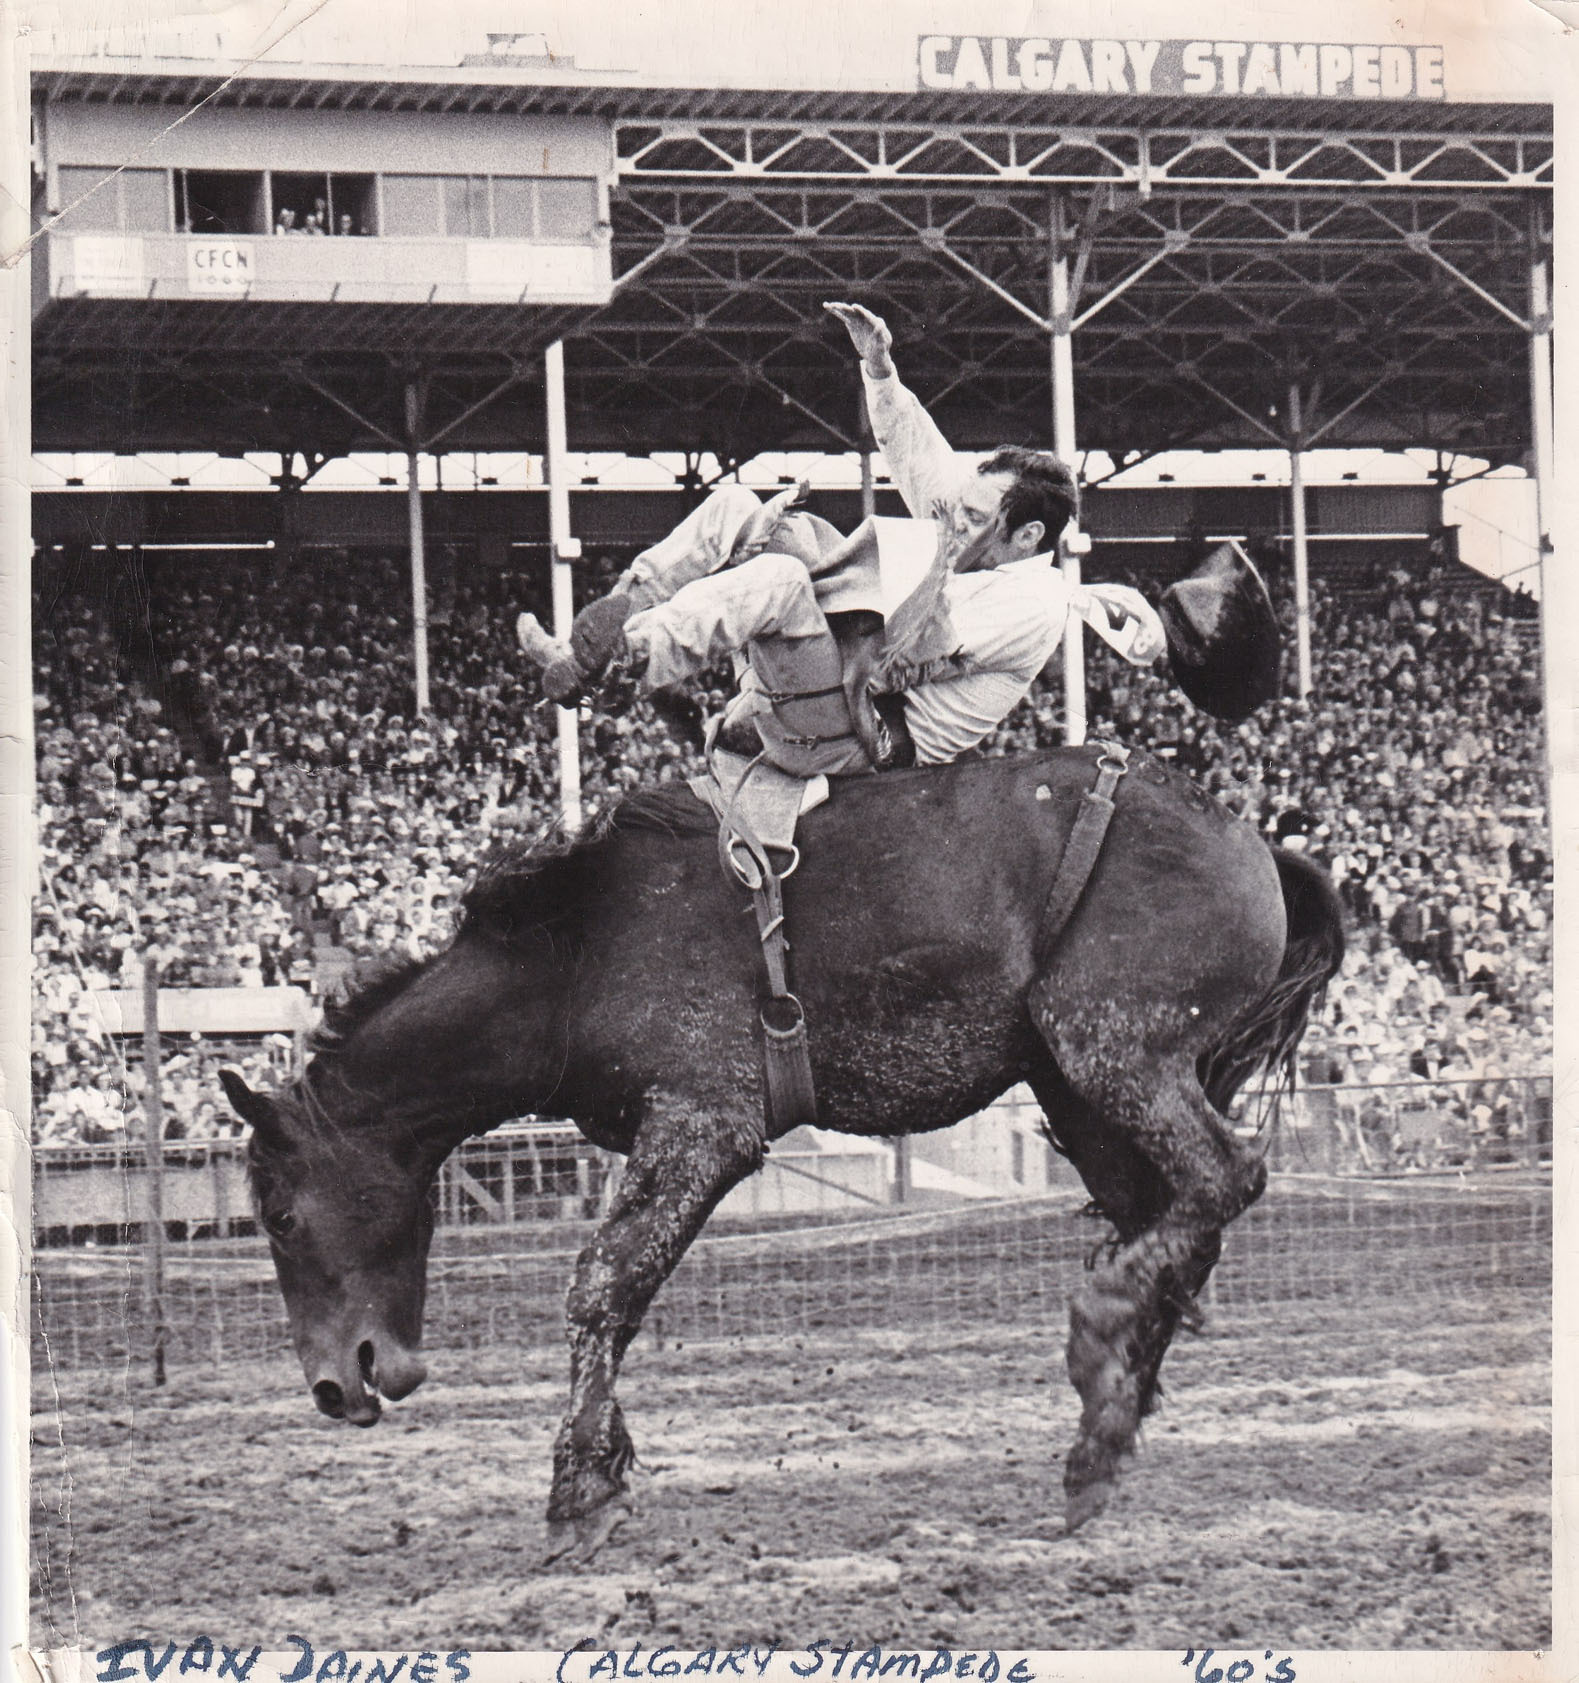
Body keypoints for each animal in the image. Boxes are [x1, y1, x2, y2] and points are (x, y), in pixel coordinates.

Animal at [219, 743, 1344, 1558]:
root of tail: (1255, 843)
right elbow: (618, 1294)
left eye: (278, 1212)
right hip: (1081, 1087)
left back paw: (1101, 1340)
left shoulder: (703, 1125)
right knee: (1169, 1212)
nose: (337, 1384)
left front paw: (578, 1495)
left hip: (1113, 1050)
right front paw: (603, 1471)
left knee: (1221, 1179)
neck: (572, 957)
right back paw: (1099, 1438)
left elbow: (602, 1286)